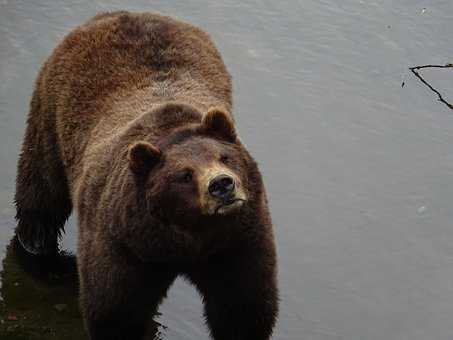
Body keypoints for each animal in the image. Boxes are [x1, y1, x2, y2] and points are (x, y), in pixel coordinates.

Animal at [15, 10, 278, 340]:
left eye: (225, 157)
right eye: (185, 174)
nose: (221, 185)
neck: (184, 237)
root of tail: (117, 13)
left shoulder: (238, 241)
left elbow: (243, 306)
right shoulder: (122, 243)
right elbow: (115, 309)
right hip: (51, 111)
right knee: (41, 186)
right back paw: (36, 245)